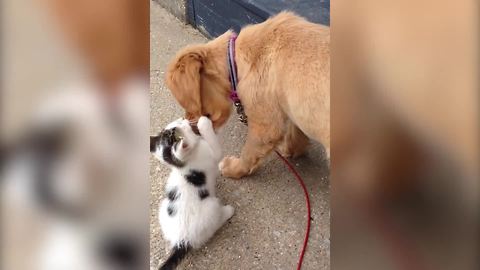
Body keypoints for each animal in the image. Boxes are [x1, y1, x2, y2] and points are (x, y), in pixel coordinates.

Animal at [149, 116, 233, 270]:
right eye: (181, 126)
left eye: (176, 123)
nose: (182, 119)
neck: (184, 164)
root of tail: (181, 241)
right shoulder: (213, 155)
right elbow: (216, 147)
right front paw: (204, 123)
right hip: (211, 207)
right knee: (215, 223)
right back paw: (228, 211)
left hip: (163, 208)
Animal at [166, 11, 330, 178]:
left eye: (187, 104)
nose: (188, 125)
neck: (235, 59)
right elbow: (295, 132)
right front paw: (290, 148)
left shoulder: (264, 127)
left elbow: (248, 152)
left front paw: (234, 168)